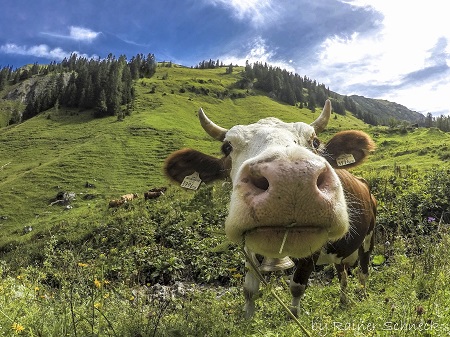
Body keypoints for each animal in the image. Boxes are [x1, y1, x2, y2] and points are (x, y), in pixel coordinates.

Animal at [164, 100, 376, 318]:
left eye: (315, 142)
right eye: (227, 147)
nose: (291, 177)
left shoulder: (312, 250)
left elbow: (297, 286)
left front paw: (293, 316)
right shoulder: (248, 248)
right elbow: (249, 290)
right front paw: (247, 317)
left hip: (369, 239)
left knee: (363, 271)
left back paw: (362, 296)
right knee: (342, 272)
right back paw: (343, 301)